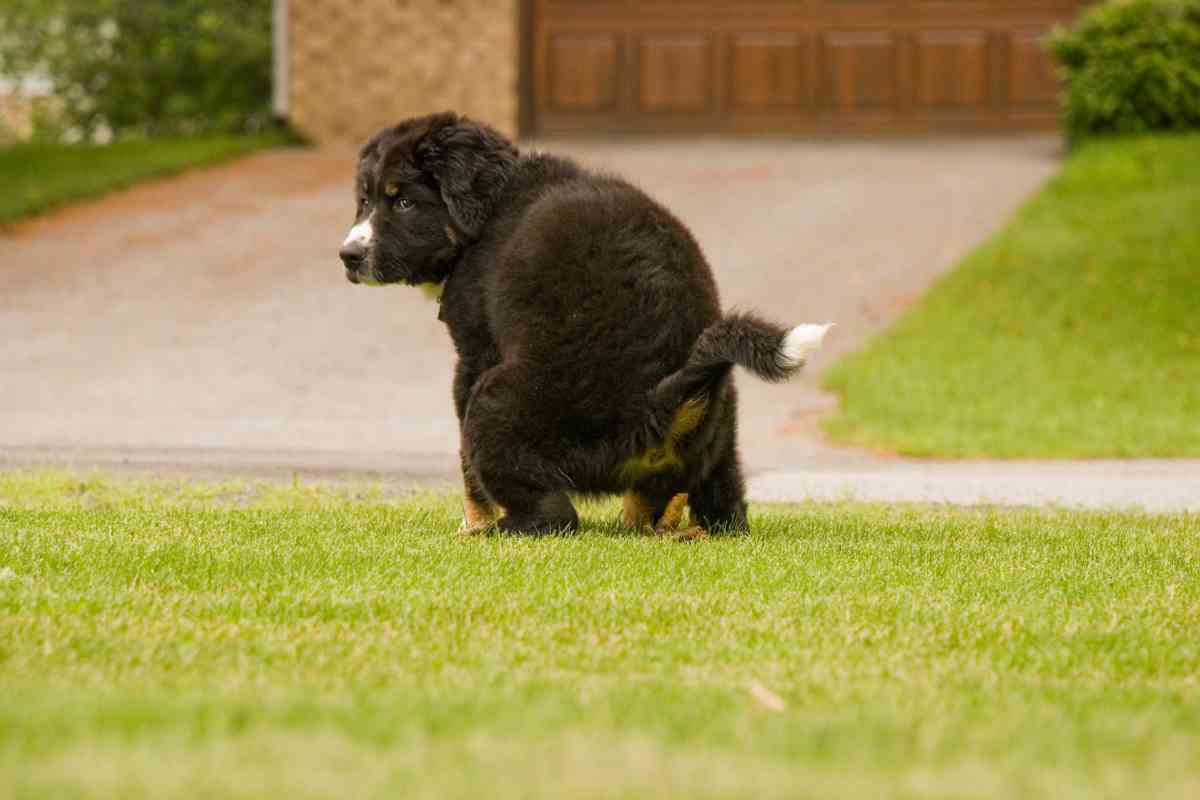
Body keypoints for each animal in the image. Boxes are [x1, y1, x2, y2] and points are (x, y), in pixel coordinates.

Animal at [338, 112, 825, 537]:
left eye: (403, 201)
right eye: (364, 201)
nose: (348, 256)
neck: (494, 205)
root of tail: (656, 405)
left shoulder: (474, 354)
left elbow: (467, 470)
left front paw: (471, 523)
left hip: (497, 401)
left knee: (555, 515)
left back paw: (494, 531)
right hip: (721, 433)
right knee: (725, 509)